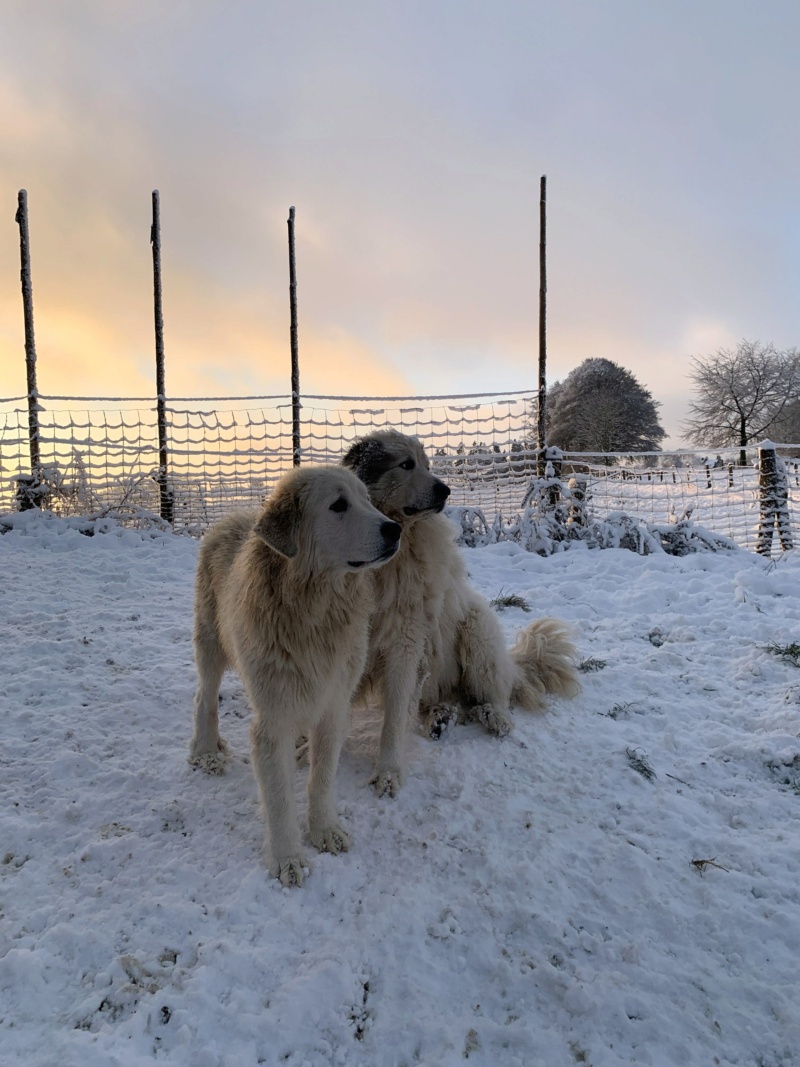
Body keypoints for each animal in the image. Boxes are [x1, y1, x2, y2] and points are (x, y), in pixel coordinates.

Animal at [188, 465, 401, 883]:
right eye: (338, 505)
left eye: (367, 501)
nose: (395, 529)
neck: (315, 611)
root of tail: (231, 516)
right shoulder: (273, 720)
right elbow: (279, 797)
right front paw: (287, 858)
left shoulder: (334, 708)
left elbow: (321, 780)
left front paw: (324, 831)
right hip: (211, 645)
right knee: (205, 696)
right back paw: (206, 751)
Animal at [341, 428, 580, 798]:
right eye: (406, 465)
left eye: (426, 465)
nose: (446, 490)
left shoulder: (404, 644)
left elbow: (393, 719)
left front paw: (388, 773)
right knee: (437, 701)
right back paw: (439, 717)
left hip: (478, 634)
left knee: (494, 694)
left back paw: (494, 717)